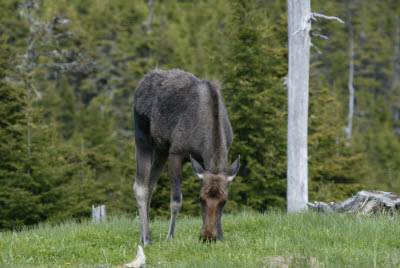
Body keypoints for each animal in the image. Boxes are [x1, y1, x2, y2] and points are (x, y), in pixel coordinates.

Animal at [133, 68, 239, 245]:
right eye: (200, 198)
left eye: (224, 202)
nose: (207, 236)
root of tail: (141, 82)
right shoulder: (177, 153)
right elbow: (176, 200)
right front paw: (170, 237)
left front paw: (221, 235)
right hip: (142, 138)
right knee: (140, 187)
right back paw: (147, 239)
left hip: (162, 148)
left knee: (150, 185)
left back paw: (142, 235)